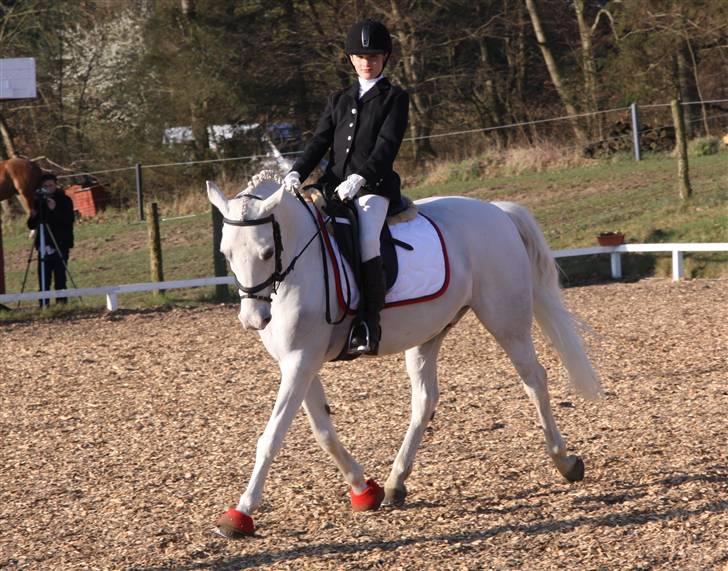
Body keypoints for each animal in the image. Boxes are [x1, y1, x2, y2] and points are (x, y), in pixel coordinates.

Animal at [206, 172, 604, 540]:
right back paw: (396, 482)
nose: (253, 320)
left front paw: (240, 513)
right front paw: (363, 490)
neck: (295, 267)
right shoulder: (299, 363)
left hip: (506, 321)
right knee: (425, 399)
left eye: (266, 252)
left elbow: (271, 437)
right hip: (429, 333)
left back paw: (565, 461)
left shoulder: (301, 361)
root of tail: (496, 211)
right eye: (226, 254)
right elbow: (323, 431)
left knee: (534, 379)